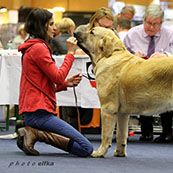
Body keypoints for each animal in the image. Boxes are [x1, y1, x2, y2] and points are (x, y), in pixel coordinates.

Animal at [74, 26, 173, 157]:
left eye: (92, 32)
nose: (75, 32)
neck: (110, 54)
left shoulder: (107, 109)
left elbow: (106, 135)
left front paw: (100, 152)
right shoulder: (123, 113)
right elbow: (121, 134)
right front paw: (120, 152)